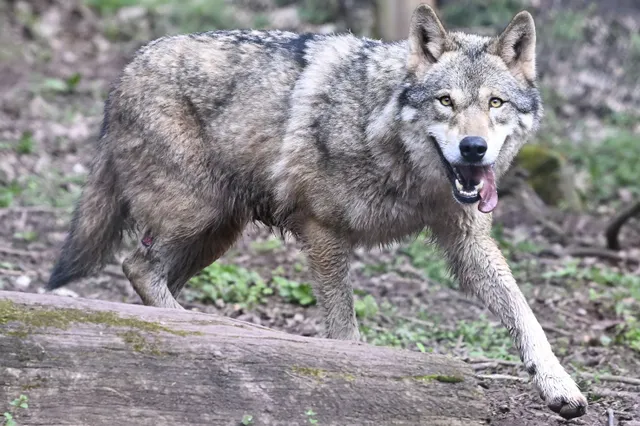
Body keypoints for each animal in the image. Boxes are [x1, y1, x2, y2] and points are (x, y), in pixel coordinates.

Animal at [47, 3, 592, 420]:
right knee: (136, 265)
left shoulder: (467, 242)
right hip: (197, 217)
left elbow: (526, 314)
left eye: (496, 103)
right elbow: (344, 328)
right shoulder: (323, 231)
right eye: (445, 102)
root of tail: (127, 68)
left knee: (148, 274)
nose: (473, 148)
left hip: (216, 232)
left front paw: (560, 386)